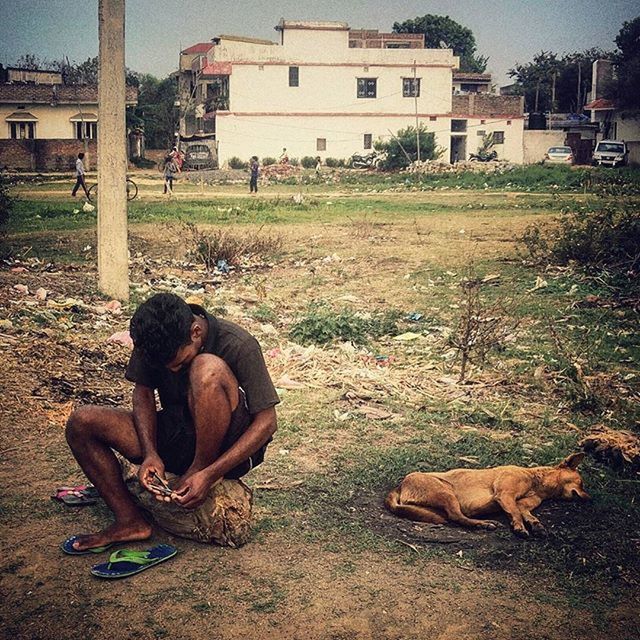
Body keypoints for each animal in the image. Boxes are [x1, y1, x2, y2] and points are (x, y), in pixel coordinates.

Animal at [384, 452, 592, 536]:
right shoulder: (505, 496)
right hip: (446, 492)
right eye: (582, 483)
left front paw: (536, 525)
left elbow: (526, 513)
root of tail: (400, 485)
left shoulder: (524, 503)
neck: (535, 481)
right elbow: (516, 514)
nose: (591, 500)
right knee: (456, 517)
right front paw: (520, 528)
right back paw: (482, 524)